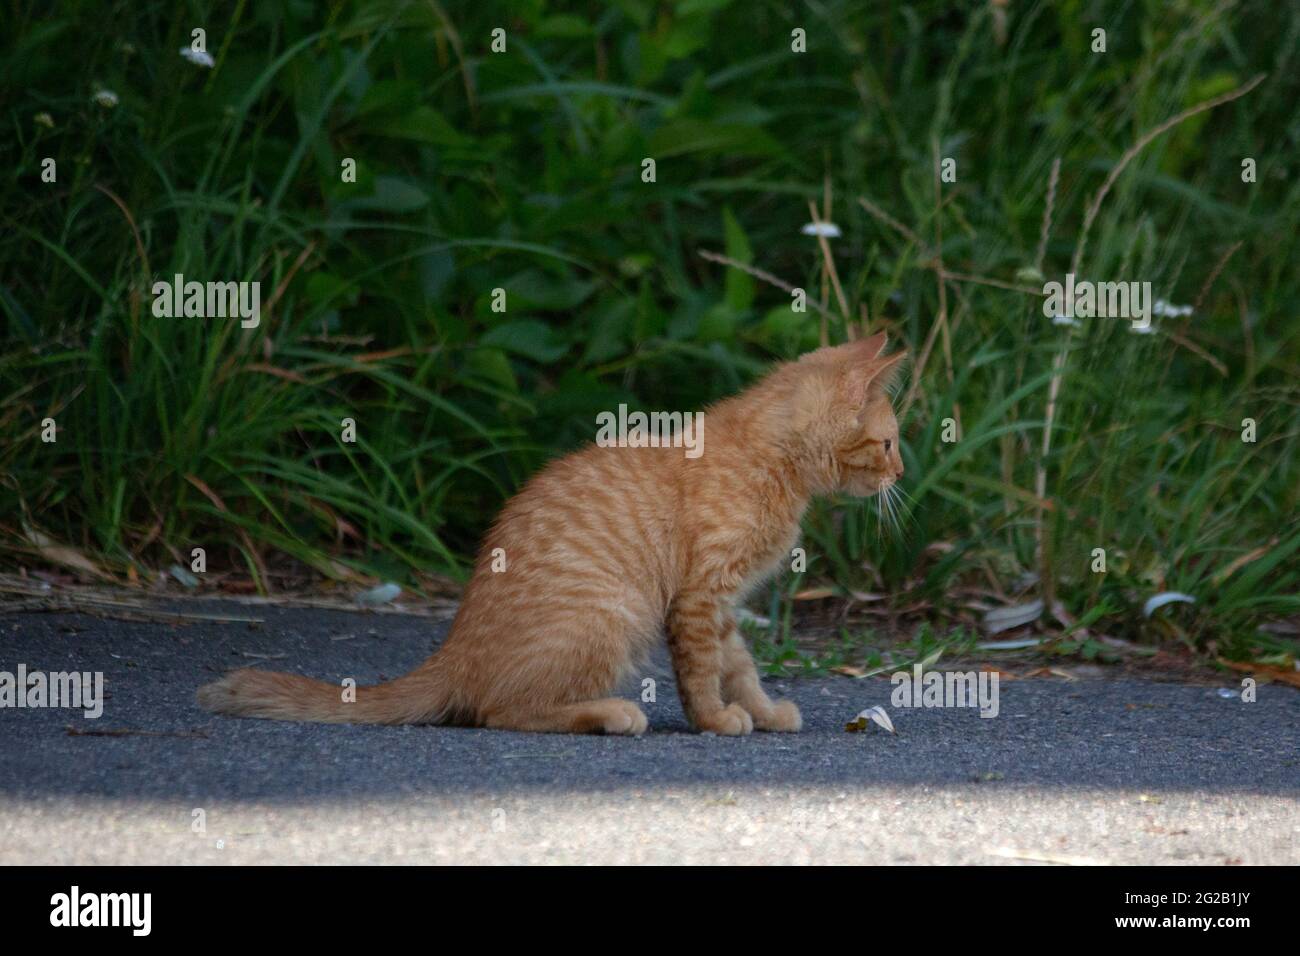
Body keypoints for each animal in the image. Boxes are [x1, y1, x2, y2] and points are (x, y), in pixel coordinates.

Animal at [200, 335, 904, 738]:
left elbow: (740, 665)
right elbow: (704, 671)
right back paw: (612, 715)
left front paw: (763, 711)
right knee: (501, 711)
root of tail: (454, 652)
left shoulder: (720, 603)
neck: (767, 452)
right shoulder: (699, 596)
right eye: (891, 442)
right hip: (615, 611)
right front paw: (715, 721)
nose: (901, 473)